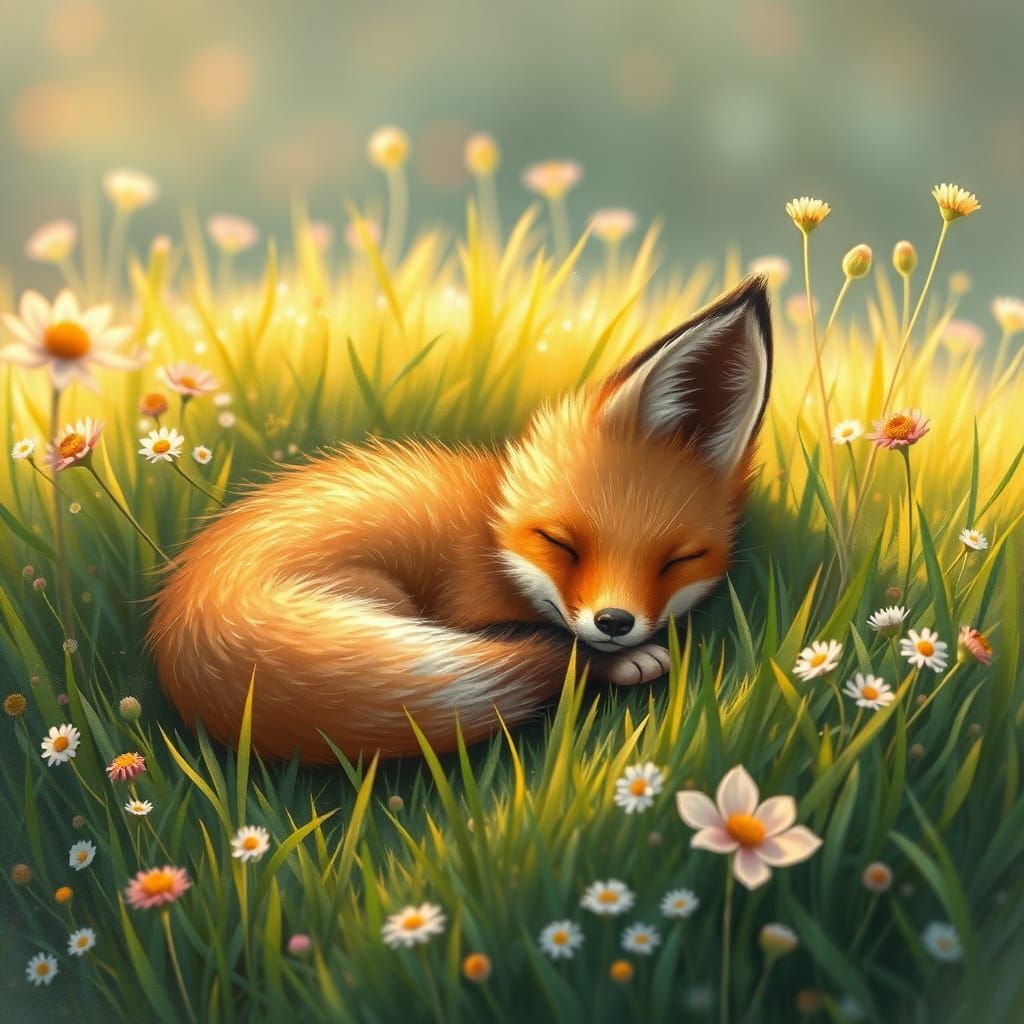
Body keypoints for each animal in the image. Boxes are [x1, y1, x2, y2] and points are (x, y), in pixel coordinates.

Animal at [149, 275, 773, 763]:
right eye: (560, 543)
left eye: (679, 560)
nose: (614, 622)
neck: (489, 532)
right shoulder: (464, 607)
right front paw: (615, 659)